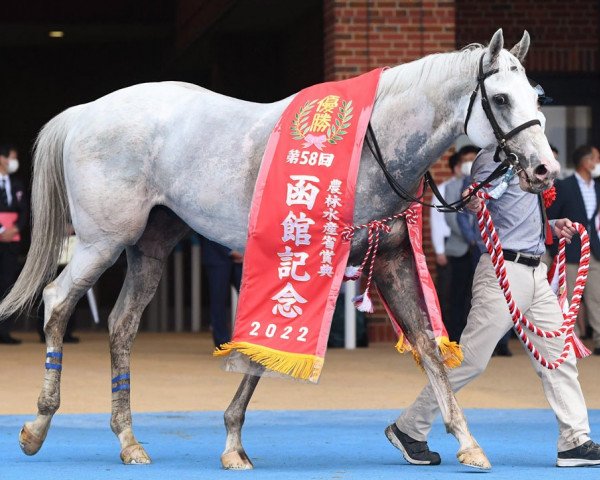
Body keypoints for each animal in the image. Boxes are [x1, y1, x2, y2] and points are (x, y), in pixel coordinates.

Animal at [0, 30, 556, 468]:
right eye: (500, 99)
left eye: (536, 97)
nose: (544, 169)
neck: (371, 146)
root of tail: (86, 112)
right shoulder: (305, 261)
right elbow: (269, 348)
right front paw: (232, 443)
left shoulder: (391, 261)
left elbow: (428, 349)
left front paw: (467, 442)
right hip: (102, 242)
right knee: (57, 301)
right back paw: (37, 427)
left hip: (149, 248)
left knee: (122, 325)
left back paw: (128, 440)